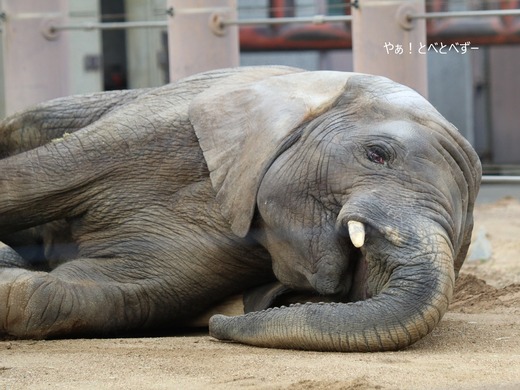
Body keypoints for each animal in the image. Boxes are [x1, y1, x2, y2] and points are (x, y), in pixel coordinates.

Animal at [0, 65, 484, 352]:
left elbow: (79, 296)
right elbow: (23, 181)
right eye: (377, 154)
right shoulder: (162, 127)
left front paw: (11, 268)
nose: (220, 320)